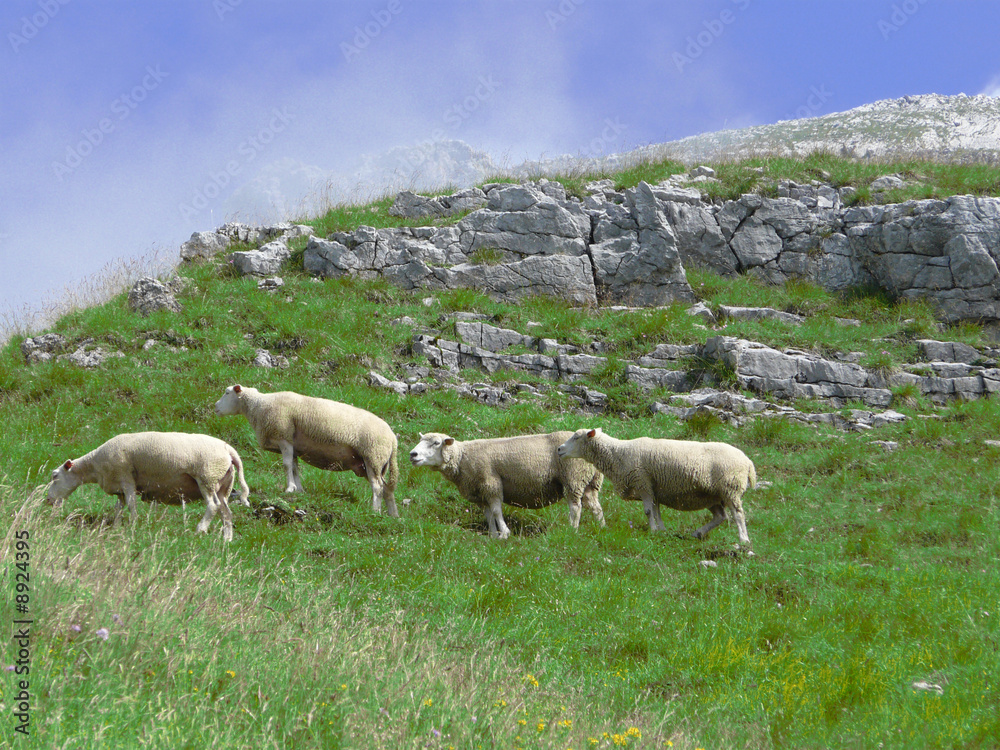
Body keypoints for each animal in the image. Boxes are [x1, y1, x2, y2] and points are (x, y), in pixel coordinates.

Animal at [45, 431, 250, 542]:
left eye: (55, 476)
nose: (48, 500)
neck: (95, 467)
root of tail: (229, 450)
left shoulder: (126, 477)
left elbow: (131, 504)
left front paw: (133, 525)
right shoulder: (119, 485)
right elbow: (119, 507)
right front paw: (116, 527)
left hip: (207, 477)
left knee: (213, 505)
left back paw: (201, 529)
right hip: (223, 485)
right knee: (226, 512)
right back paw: (226, 539)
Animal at [214, 384, 400, 516]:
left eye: (227, 393)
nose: (215, 406)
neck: (259, 406)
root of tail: (393, 438)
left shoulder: (284, 437)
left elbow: (287, 465)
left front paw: (289, 488)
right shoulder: (293, 446)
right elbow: (295, 468)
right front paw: (299, 489)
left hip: (373, 456)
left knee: (377, 487)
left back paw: (375, 510)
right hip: (377, 463)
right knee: (387, 489)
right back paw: (393, 515)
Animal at [409, 431, 604, 538]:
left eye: (436, 443)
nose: (413, 454)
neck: (463, 457)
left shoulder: (491, 483)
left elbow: (496, 511)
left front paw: (504, 533)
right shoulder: (480, 493)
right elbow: (488, 514)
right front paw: (492, 535)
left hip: (573, 478)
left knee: (575, 507)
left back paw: (572, 530)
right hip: (590, 483)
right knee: (596, 507)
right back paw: (601, 528)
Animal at [557, 428, 755, 550]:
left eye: (576, 437)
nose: (559, 449)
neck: (618, 454)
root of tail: (748, 462)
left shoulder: (643, 481)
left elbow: (647, 511)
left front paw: (652, 530)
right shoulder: (654, 489)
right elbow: (656, 510)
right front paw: (661, 530)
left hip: (731, 489)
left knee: (738, 515)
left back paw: (743, 540)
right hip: (711, 495)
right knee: (721, 516)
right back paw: (697, 533)